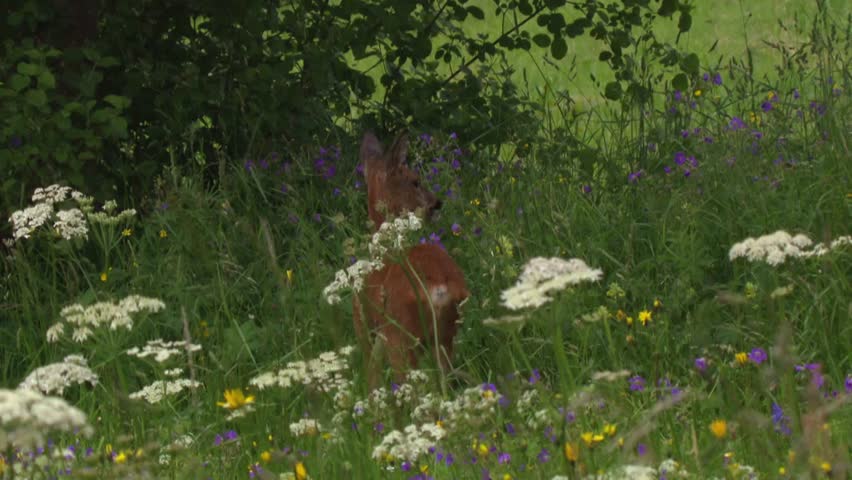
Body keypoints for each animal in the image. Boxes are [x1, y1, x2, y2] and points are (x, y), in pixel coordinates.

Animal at [353, 131, 469, 390]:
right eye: (415, 181)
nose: (436, 202)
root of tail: (439, 287)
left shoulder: (366, 327)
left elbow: (371, 379)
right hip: (446, 335)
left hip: (401, 338)